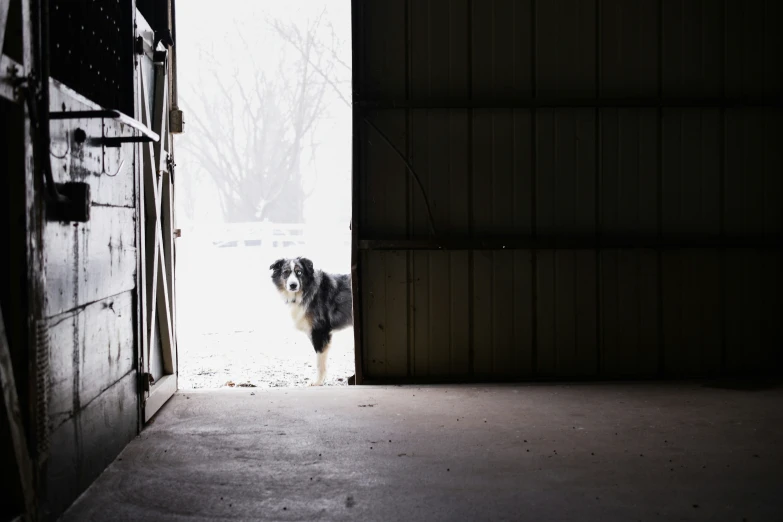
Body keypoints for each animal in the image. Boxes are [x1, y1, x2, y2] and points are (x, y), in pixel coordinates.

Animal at [272, 256, 354, 384]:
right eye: (286, 272)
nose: (293, 285)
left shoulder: (319, 331)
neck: (305, 291)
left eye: (299, 272)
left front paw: (318, 382)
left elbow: (320, 362)